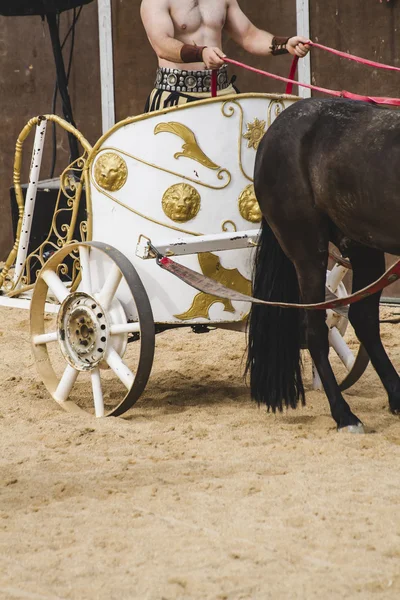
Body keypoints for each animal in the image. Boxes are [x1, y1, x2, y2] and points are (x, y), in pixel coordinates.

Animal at [247, 98, 400, 432]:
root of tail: (272, 133)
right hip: (308, 252)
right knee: (316, 330)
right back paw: (345, 416)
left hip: (363, 246)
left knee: (363, 319)